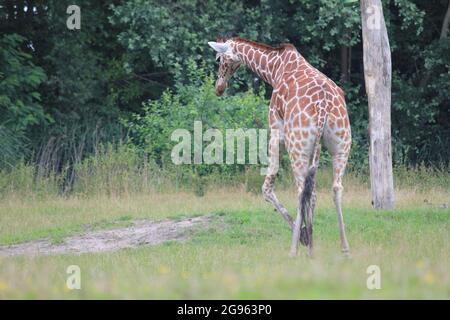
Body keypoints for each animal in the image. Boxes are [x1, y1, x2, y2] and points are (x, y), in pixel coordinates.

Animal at [207, 38, 352, 258]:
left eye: (219, 59)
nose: (219, 87)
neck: (274, 69)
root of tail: (323, 108)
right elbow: (313, 193)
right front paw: (308, 238)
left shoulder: (276, 133)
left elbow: (266, 189)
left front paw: (303, 237)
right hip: (340, 144)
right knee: (333, 188)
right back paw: (342, 248)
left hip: (297, 145)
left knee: (301, 190)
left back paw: (295, 249)